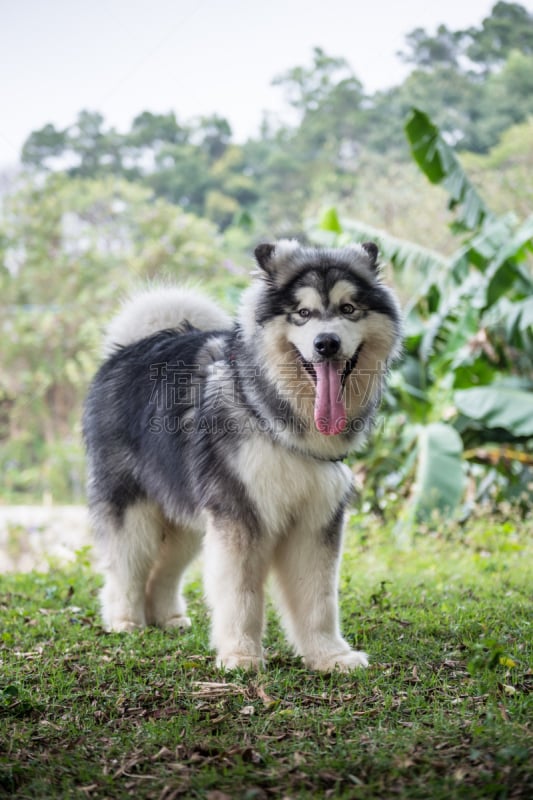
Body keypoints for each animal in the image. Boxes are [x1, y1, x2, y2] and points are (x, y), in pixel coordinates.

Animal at [82, 241, 400, 672]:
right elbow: (240, 595)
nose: (327, 343)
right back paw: (125, 620)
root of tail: (129, 348)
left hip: (186, 516)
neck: (275, 414)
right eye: (302, 313)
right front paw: (241, 655)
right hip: (135, 510)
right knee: (128, 564)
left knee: (164, 567)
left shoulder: (315, 519)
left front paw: (329, 656)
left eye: (349, 308)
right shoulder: (240, 516)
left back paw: (168, 618)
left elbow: (318, 599)